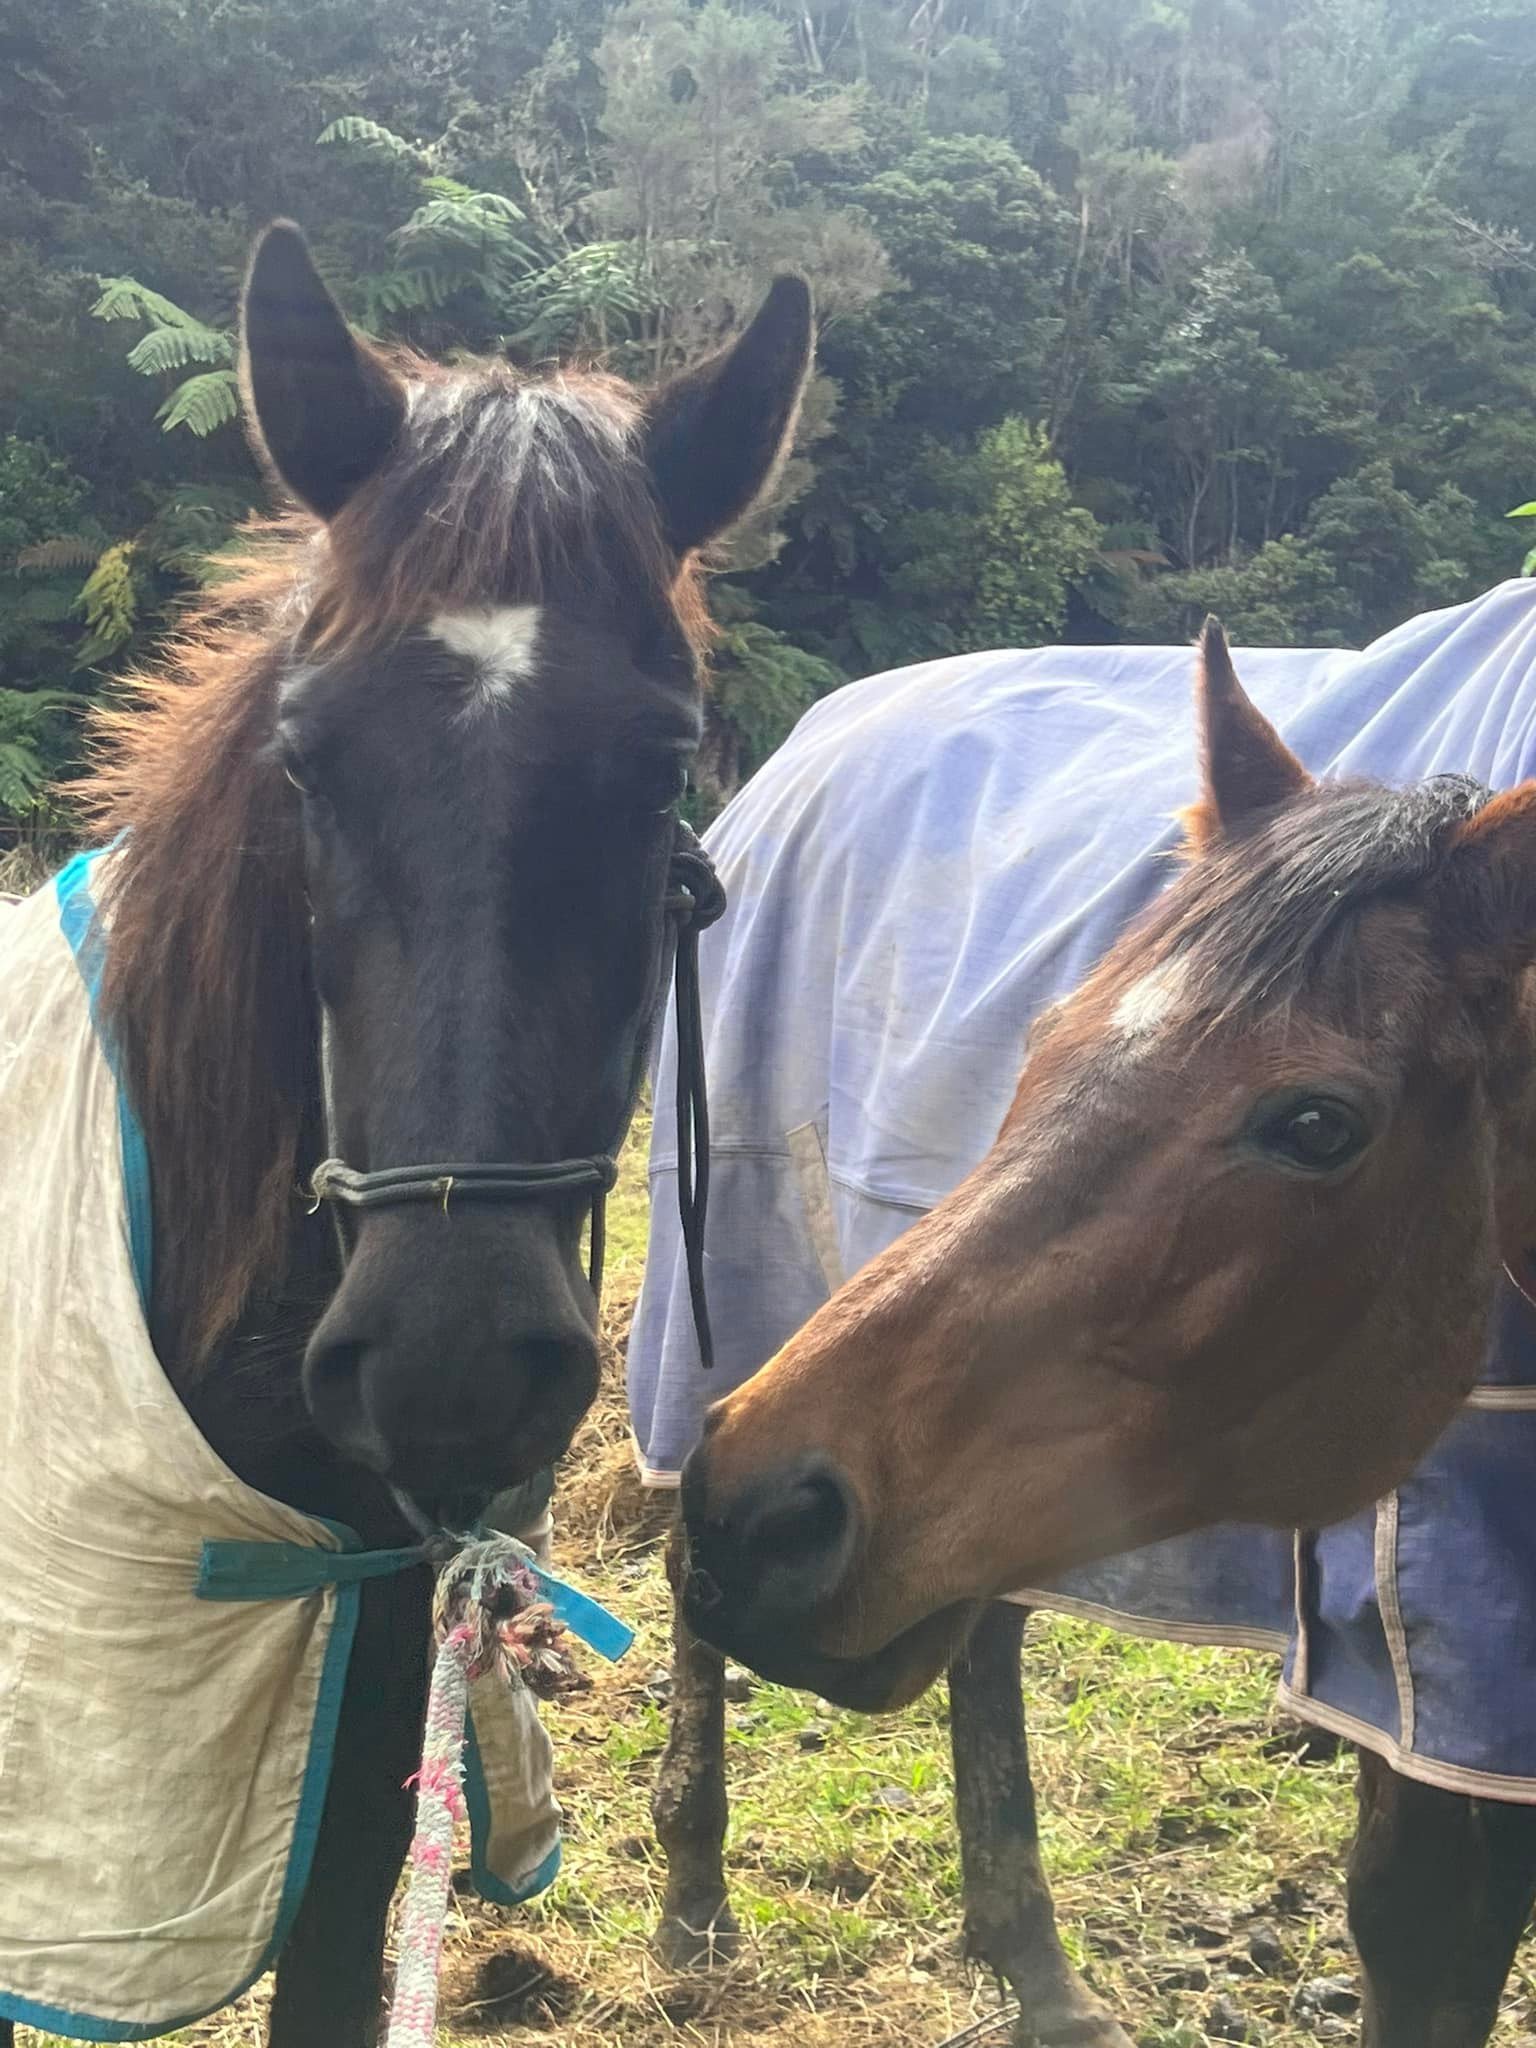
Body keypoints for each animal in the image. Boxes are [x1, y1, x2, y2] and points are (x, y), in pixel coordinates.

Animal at [631, 589, 1536, 2047]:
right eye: (1048, 1031)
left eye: (1318, 1123)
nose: (767, 1511)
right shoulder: (1442, 1694)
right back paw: (695, 1896)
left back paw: (1032, 1964)